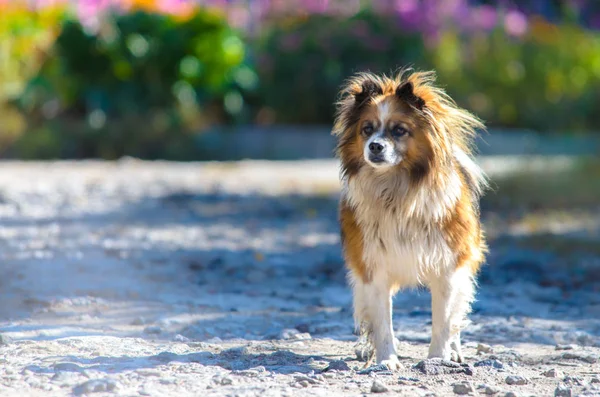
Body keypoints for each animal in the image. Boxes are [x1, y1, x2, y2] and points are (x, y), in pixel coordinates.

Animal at [332, 69, 488, 370]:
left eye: (399, 130)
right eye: (366, 129)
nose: (375, 146)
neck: (397, 192)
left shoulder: (448, 268)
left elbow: (443, 320)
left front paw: (438, 358)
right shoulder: (372, 267)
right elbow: (382, 322)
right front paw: (387, 360)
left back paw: (455, 350)